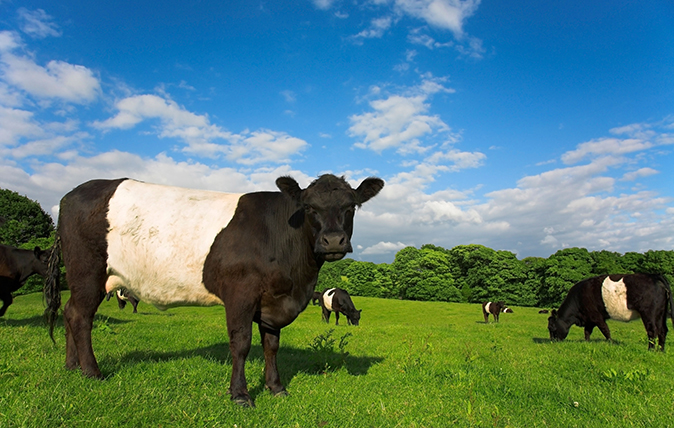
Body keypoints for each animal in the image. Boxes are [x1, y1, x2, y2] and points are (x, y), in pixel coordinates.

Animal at [544, 274, 672, 352]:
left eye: (552, 328)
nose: (552, 342)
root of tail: (654, 276)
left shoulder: (596, 316)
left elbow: (605, 330)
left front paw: (611, 343)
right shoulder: (589, 319)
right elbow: (587, 332)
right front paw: (587, 343)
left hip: (649, 313)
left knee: (652, 331)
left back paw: (650, 350)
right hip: (661, 313)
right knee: (663, 330)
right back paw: (661, 350)